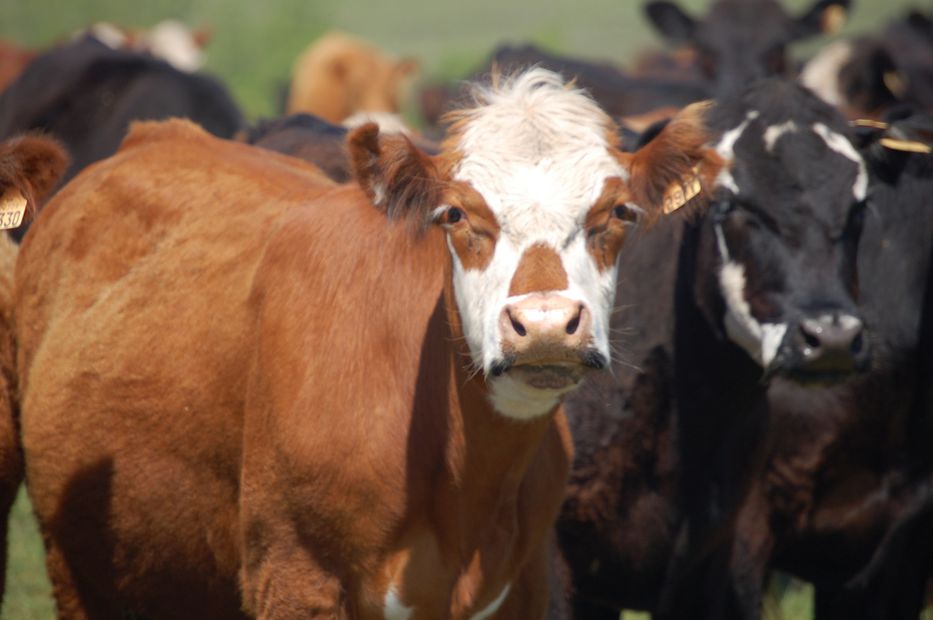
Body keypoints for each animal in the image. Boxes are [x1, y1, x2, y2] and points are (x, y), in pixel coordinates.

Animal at [13, 68, 716, 619]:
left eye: (619, 213)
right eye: (455, 214)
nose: (544, 324)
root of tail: (156, 134)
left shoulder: (529, 584)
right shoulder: (295, 576)